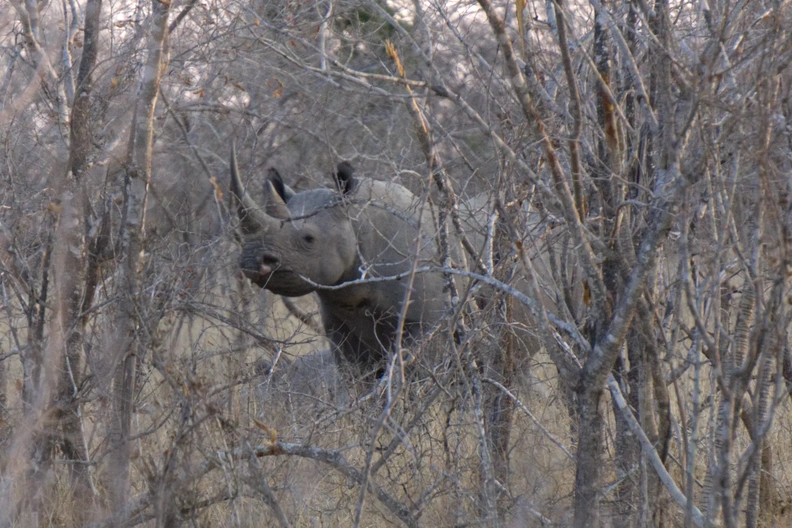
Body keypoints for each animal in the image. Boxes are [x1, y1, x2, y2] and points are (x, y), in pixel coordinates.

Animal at [229, 148, 474, 374]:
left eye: (309, 239)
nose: (251, 260)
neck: (357, 222)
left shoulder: (427, 323)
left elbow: (417, 371)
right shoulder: (340, 327)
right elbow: (355, 377)